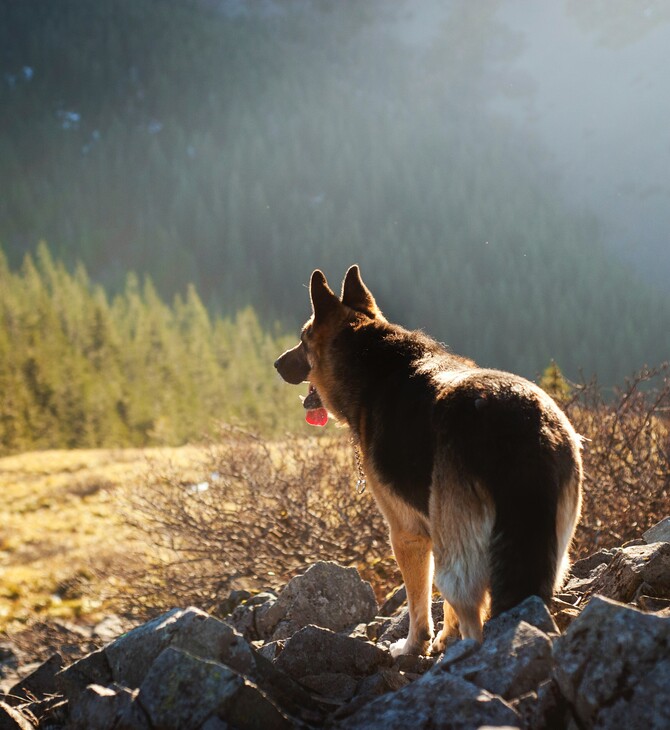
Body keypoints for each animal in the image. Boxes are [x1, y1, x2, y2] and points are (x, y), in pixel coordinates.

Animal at [272, 266, 584, 656]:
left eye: (303, 339)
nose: (276, 363)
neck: (373, 358)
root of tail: (520, 423)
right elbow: (444, 610)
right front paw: (444, 639)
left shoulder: (407, 534)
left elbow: (418, 602)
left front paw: (413, 646)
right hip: (551, 550)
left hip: (458, 555)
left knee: (470, 611)